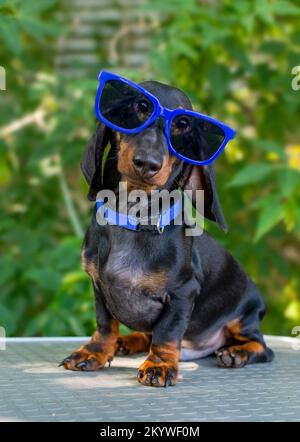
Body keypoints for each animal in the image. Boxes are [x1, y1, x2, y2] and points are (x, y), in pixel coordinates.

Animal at [60, 79, 274, 386]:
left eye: (183, 125)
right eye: (140, 107)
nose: (147, 163)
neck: (134, 217)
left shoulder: (182, 293)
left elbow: (166, 333)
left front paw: (159, 365)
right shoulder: (99, 287)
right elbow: (105, 324)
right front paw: (94, 352)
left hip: (244, 316)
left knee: (263, 347)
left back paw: (237, 353)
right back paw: (127, 342)